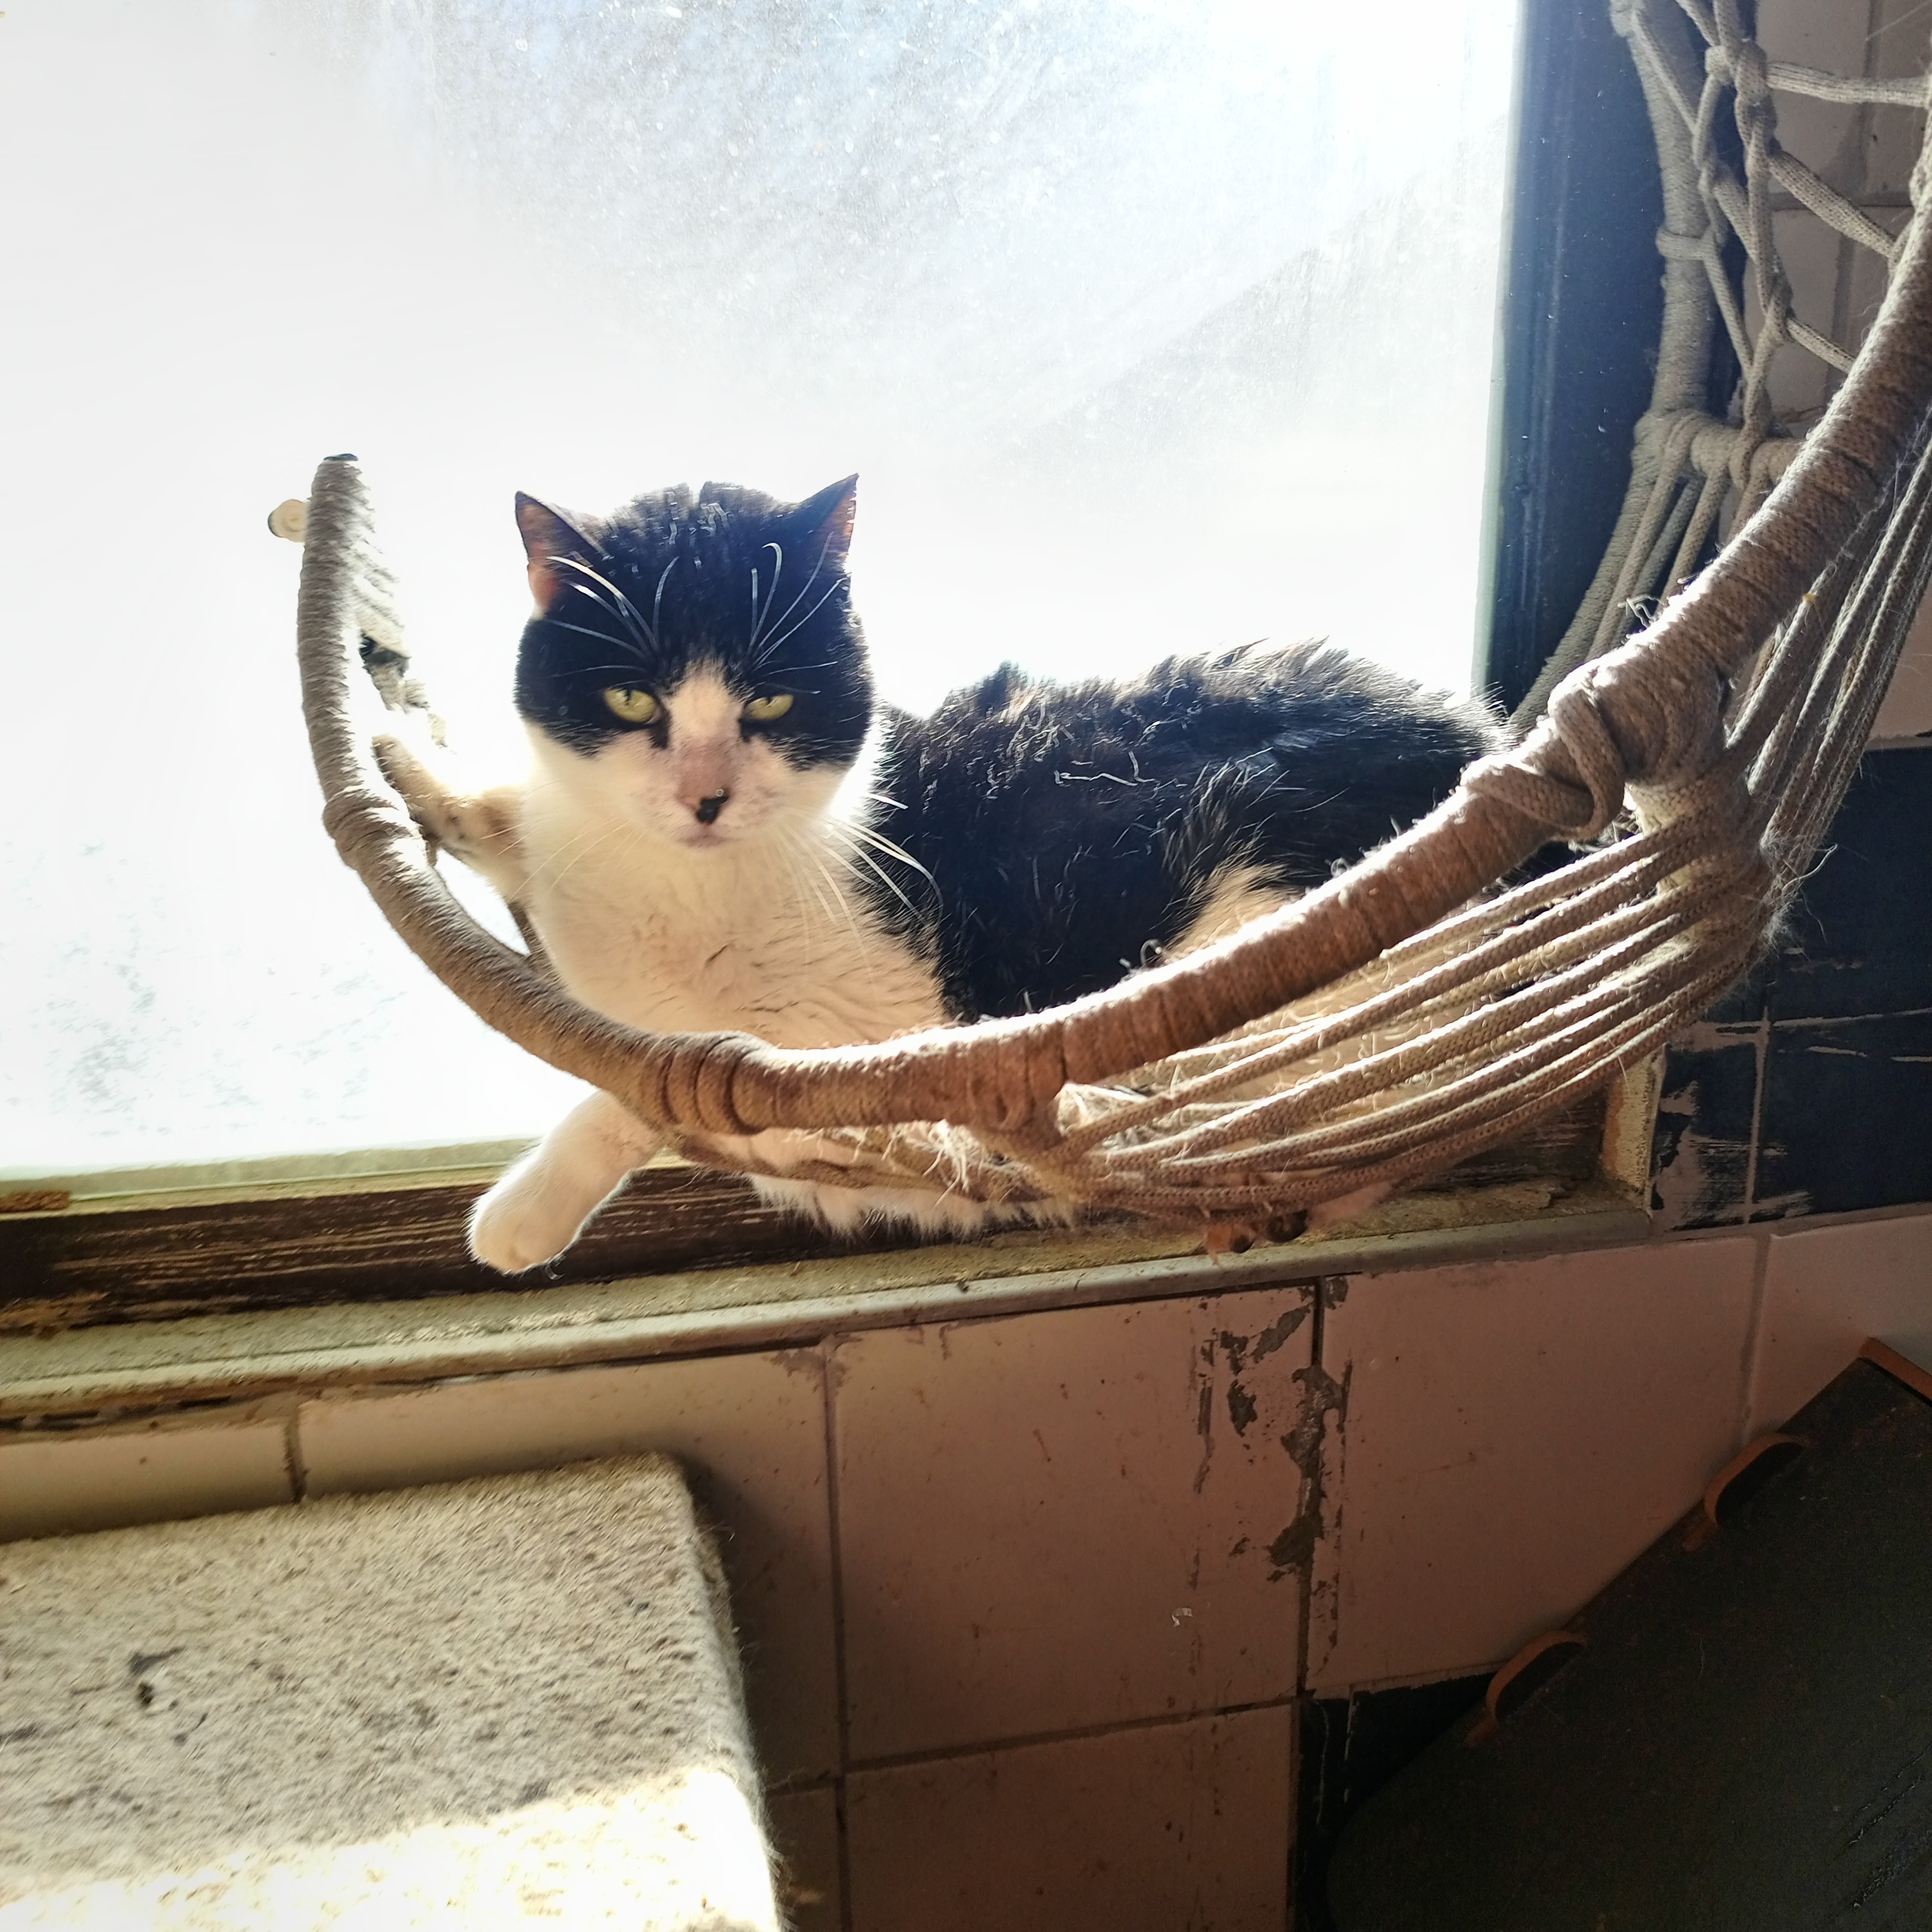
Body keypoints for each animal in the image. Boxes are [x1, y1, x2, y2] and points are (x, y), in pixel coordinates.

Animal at [376, 475, 1505, 1272]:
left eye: (772, 703)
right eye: (629, 700)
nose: (704, 796)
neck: (672, 881)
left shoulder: (849, 1029)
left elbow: (658, 1084)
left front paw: (521, 1213)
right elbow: (516, 822)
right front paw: (410, 770)